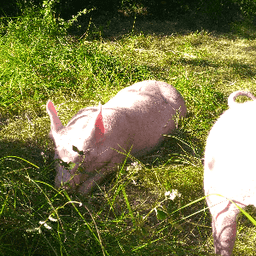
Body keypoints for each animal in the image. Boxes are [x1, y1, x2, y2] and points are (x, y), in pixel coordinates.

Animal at [46, 81, 186, 193]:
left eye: (83, 156)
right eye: (56, 154)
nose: (63, 187)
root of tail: (171, 86)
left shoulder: (120, 155)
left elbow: (101, 174)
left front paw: (81, 193)